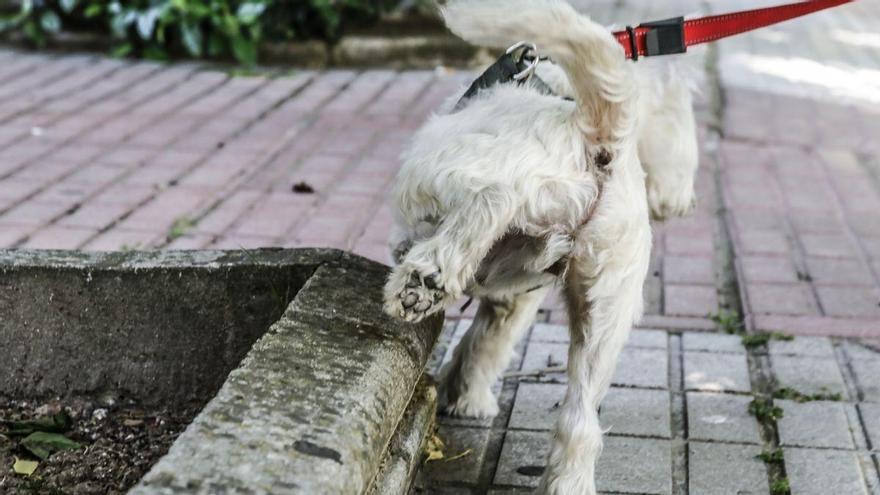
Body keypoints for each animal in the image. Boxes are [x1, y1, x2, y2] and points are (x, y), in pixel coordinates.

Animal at [382, 1, 696, 494]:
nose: (683, 202)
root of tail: (597, 136)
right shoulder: (516, 298)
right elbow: (487, 342)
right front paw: (466, 393)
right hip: (605, 317)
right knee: (581, 420)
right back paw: (567, 481)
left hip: (446, 170)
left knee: (492, 198)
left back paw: (422, 283)